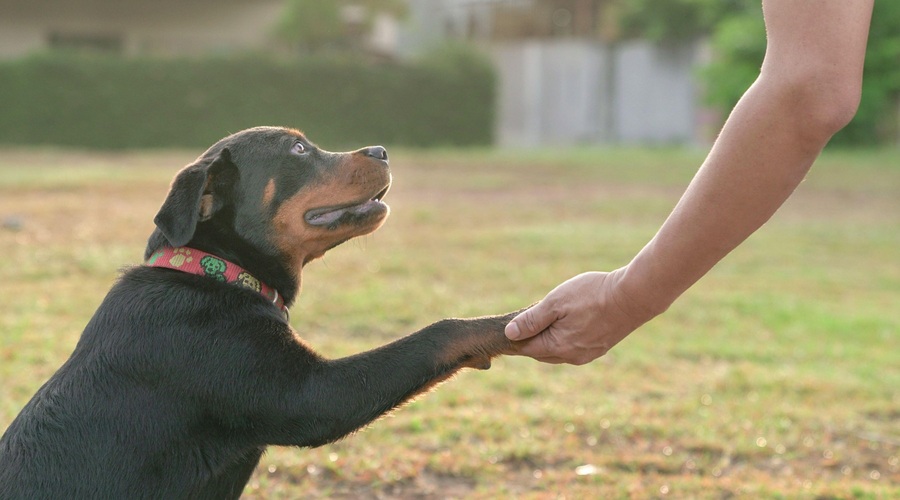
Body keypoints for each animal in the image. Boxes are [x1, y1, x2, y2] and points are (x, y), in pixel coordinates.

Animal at [0, 127, 520, 498]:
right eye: (298, 149)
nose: (381, 150)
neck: (217, 272)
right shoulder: (313, 395)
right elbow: (437, 334)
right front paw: (508, 324)